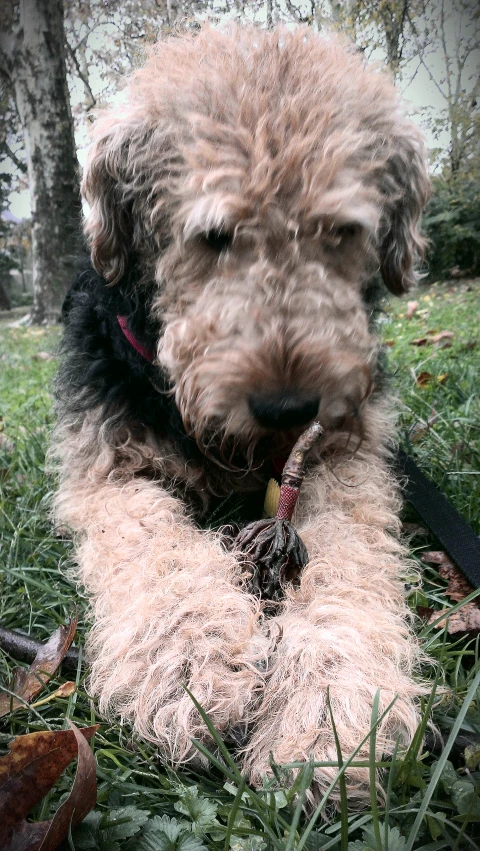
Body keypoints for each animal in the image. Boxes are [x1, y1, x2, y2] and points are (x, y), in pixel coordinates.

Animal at [53, 25, 432, 804]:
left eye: (342, 231)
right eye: (214, 236)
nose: (288, 408)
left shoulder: (347, 457)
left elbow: (350, 558)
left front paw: (334, 708)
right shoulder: (105, 471)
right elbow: (153, 548)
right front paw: (187, 662)